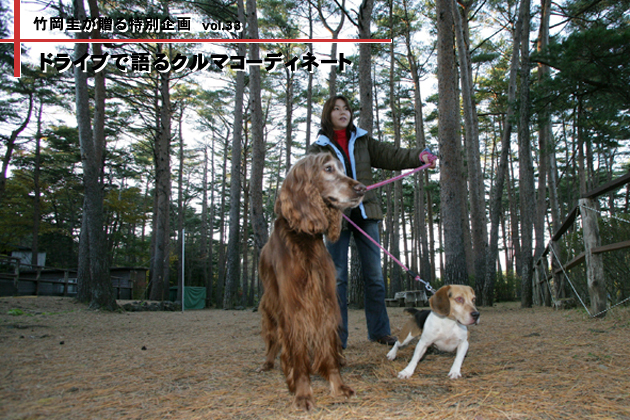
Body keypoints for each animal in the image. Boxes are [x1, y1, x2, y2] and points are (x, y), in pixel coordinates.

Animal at [256, 153, 366, 408]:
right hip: (270, 305)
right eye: (328, 169)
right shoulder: (293, 305)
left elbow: (327, 347)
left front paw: (338, 385)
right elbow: (296, 354)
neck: (303, 236)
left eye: (342, 169)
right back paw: (267, 362)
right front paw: (303, 392)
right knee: (272, 338)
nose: (362, 189)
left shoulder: (323, 297)